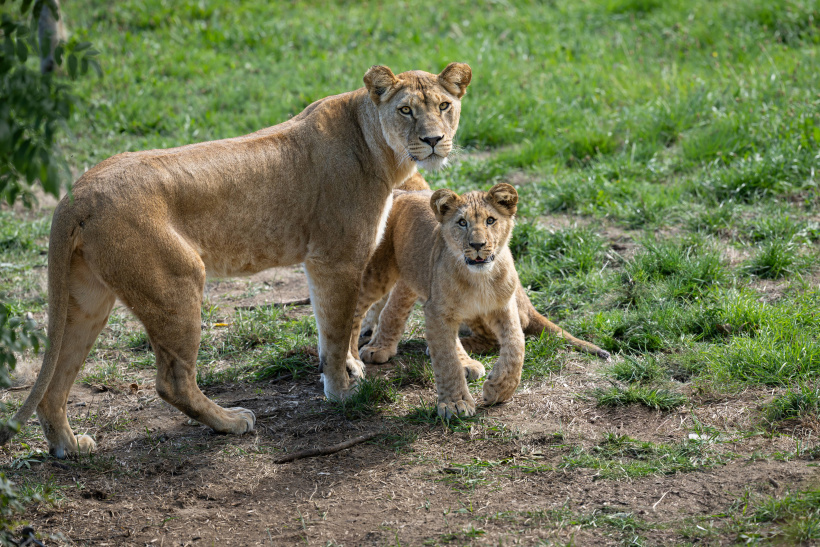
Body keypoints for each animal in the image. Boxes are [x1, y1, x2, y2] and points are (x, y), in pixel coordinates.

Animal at [0, 62, 472, 458]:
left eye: (444, 106)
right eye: (406, 110)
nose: (433, 140)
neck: (377, 146)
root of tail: (76, 193)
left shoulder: (323, 262)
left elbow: (332, 326)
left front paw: (348, 369)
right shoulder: (335, 258)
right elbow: (338, 328)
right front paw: (340, 391)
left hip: (87, 299)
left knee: (55, 382)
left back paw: (68, 446)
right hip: (177, 280)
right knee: (172, 381)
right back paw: (230, 422)